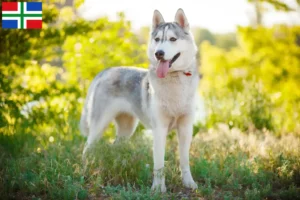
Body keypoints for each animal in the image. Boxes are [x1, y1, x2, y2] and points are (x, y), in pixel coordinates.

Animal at [80, 8, 199, 192]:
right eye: (157, 40)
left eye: (172, 39)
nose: (159, 53)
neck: (174, 81)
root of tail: (106, 70)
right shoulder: (159, 129)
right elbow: (159, 164)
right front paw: (158, 189)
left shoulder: (186, 128)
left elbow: (185, 161)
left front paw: (188, 183)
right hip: (99, 126)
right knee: (86, 149)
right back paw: (84, 172)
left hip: (127, 129)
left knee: (115, 146)